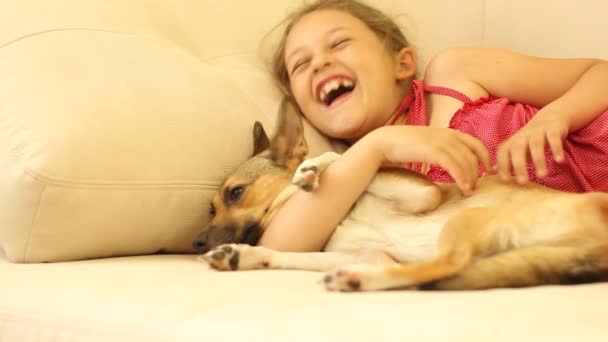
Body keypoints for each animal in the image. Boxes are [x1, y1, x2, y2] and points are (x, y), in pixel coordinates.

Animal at [194, 99, 608, 292]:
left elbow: (347, 160)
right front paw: (247, 255)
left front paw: (314, 168)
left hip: (467, 220)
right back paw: (357, 279)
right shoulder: (367, 254)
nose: (196, 241)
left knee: (448, 265)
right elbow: (292, 257)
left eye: (236, 193)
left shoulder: (424, 194)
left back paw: (358, 281)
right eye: (210, 208)